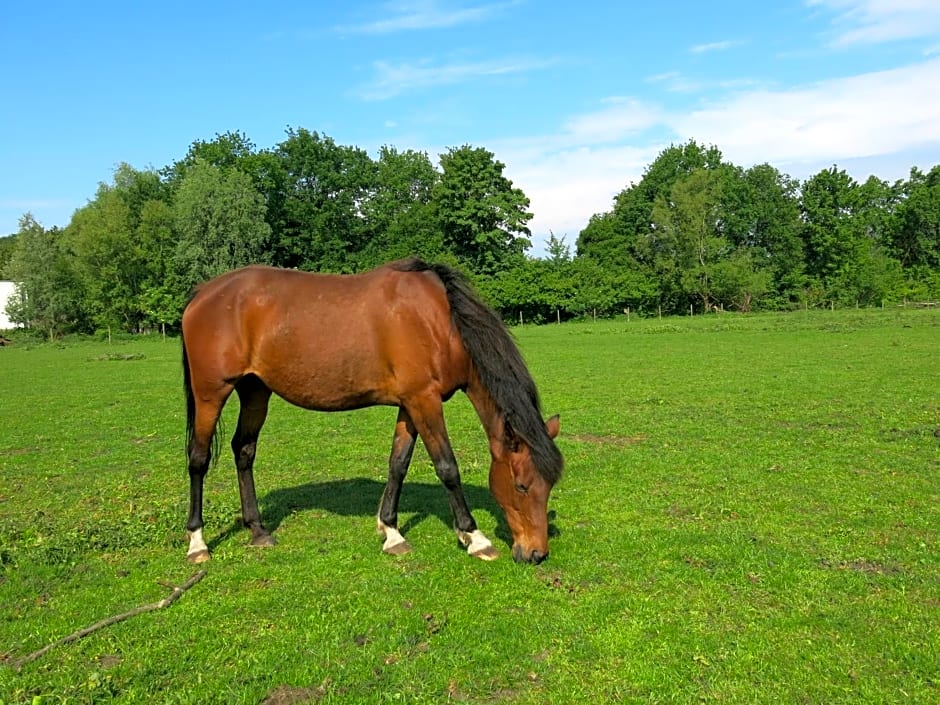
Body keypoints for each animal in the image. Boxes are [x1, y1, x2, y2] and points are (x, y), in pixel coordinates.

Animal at [182, 262, 564, 564]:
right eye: (522, 485)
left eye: (548, 486)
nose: (536, 553)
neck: (439, 322)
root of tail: (203, 293)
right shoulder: (424, 401)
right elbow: (447, 467)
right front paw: (475, 537)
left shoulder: (410, 404)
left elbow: (398, 464)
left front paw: (391, 531)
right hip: (211, 393)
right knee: (198, 458)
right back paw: (197, 543)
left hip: (255, 390)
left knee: (244, 450)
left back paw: (258, 530)